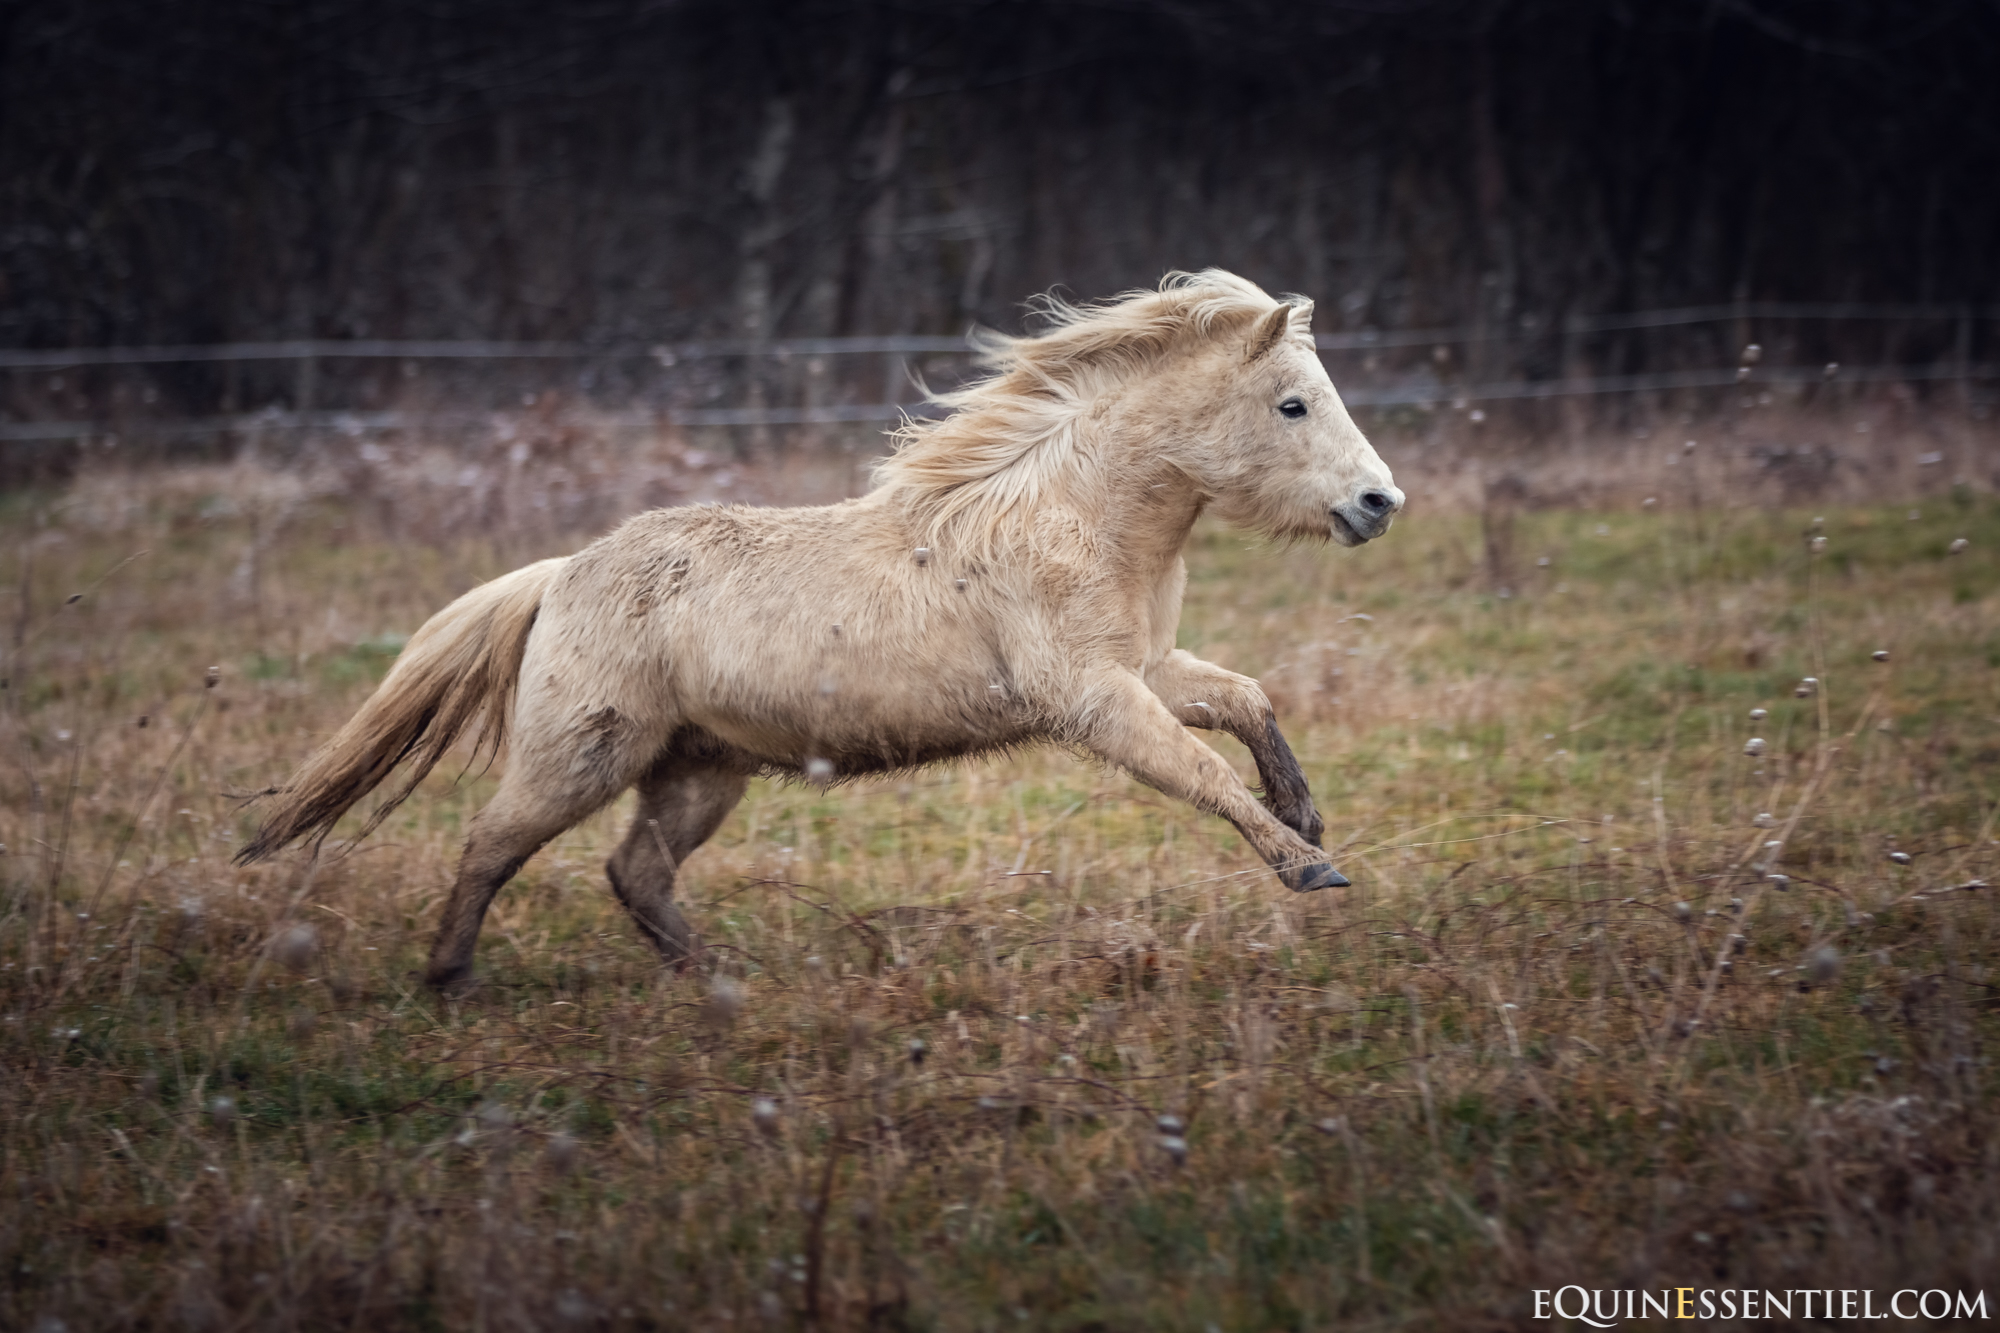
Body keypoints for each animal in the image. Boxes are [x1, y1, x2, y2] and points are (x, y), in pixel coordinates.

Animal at [237, 269, 1406, 988]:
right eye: (1293, 404)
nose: (1378, 504)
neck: (1070, 517)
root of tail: (562, 574)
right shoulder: (1094, 701)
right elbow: (1200, 772)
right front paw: (1308, 868)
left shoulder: (1145, 669)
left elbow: (1246, 698)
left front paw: (1301, 813)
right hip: (582, 756)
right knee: (491, 845)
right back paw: (450, 978)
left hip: (697, 770)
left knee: (636, 873)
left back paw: (718, 981)